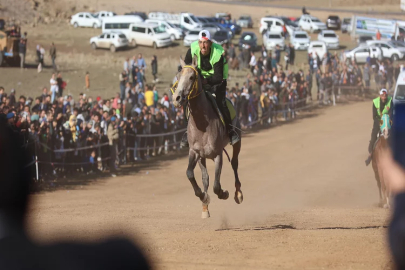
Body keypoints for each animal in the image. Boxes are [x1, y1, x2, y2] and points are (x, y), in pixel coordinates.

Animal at [171, 57, 243, 219]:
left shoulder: (217, 154)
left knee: (234, 163)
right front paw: (203, 197)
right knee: (205, 177)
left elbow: (217, 186)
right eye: (178, 76)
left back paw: (238, 193)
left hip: (237, 141)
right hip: (202, 156)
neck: (203, 124)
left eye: (192, 77)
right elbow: (190, 174)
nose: (177, 98)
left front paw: (224, 193)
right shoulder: (195, 152)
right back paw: (205, 207)